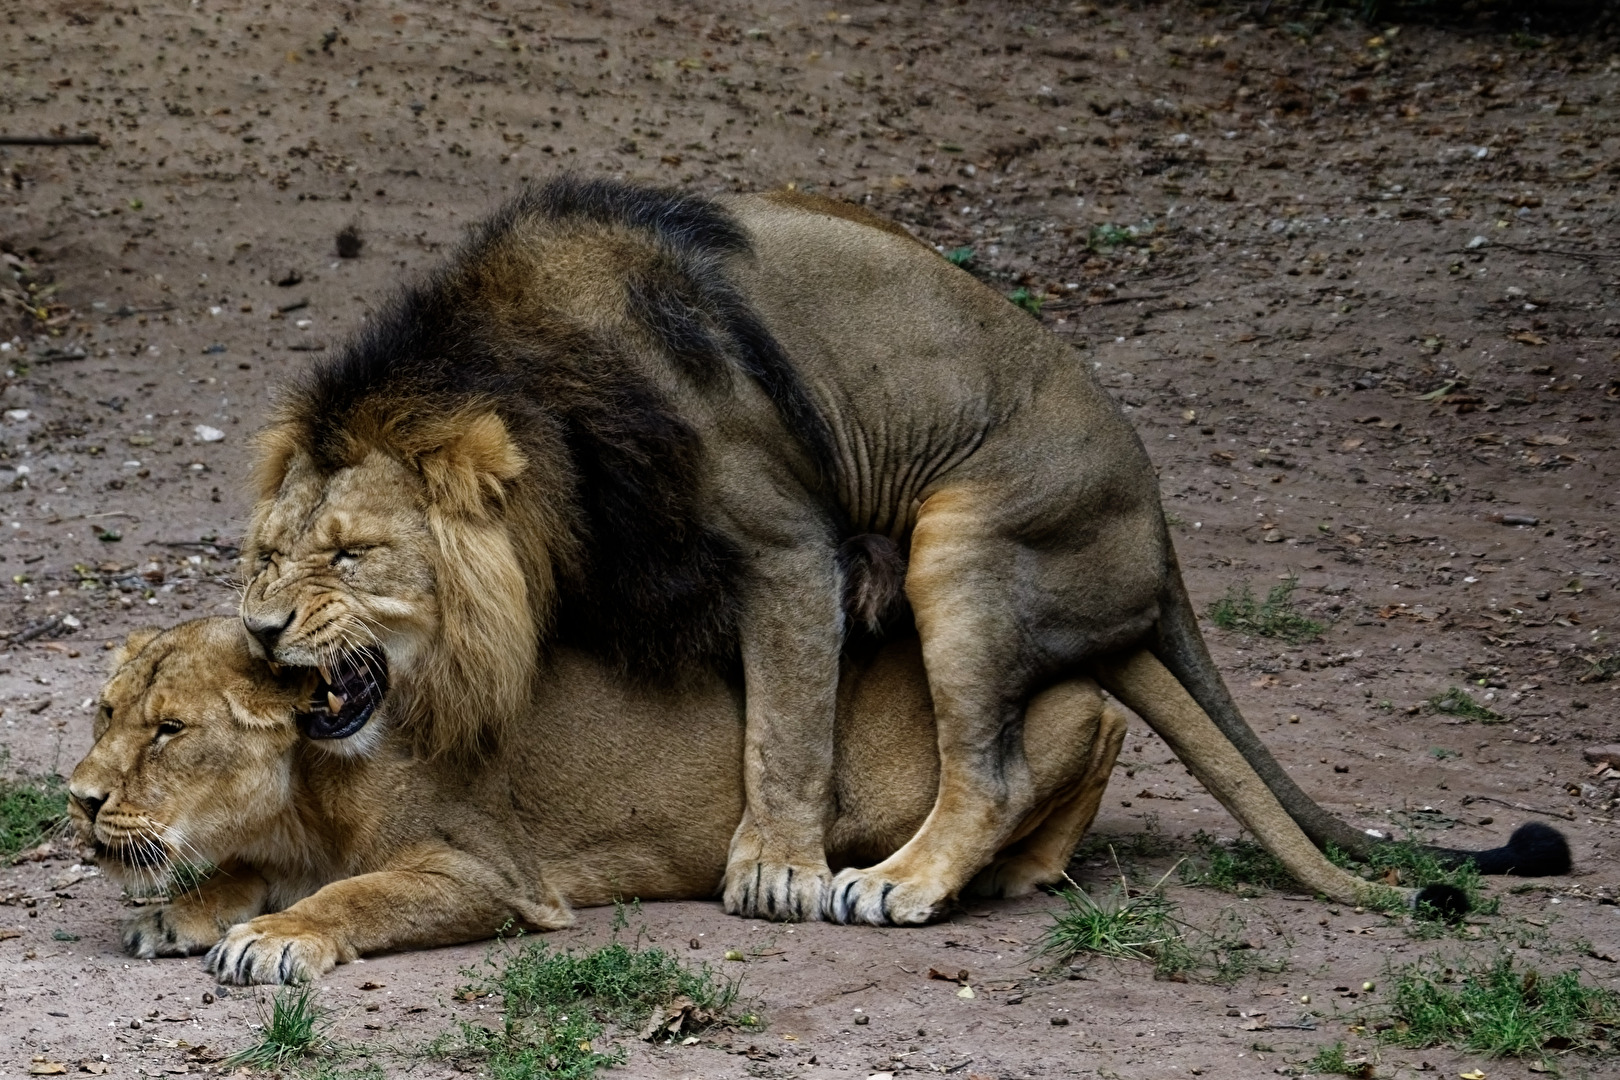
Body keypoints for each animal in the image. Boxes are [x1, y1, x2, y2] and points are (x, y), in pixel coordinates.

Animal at [69, 618, 1473, 984]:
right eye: (100, 711)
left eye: (170, 729)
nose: (77, 802)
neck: (307, 789)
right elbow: (235, 868)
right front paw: (181, 911)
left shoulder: (491, 875)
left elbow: (356, 893)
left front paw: (271, 939)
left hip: (938, 762)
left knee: (1079, 731)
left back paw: (1001, 868)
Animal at [238, 178, 1568, 926]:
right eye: (262, 558)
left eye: (352, 556)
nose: (257, 631)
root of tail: (1161, 531)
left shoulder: (785, 542)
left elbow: (784, 725)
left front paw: (774, 866)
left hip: (965, 539)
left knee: (991, 771)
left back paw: (899, 883)